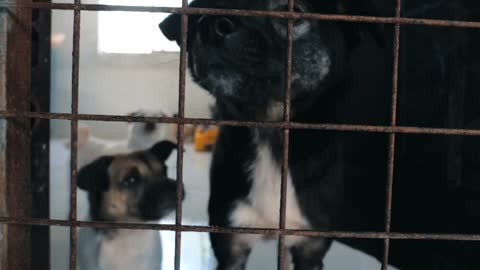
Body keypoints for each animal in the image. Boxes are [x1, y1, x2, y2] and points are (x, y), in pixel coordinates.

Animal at [161, 1, 480, 268]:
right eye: (205, 10)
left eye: (292, 11)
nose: (210, 25)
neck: (271, 131)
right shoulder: (231, 245)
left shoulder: (310, 246)